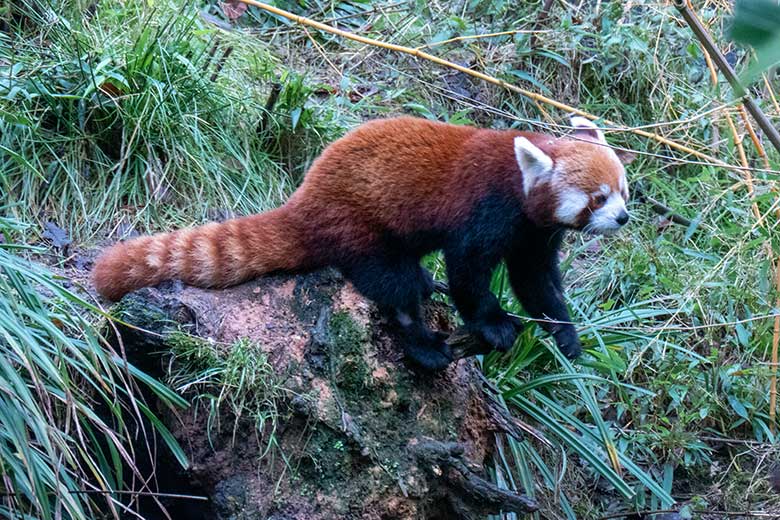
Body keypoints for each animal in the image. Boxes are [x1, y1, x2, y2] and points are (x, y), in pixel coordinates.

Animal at [94, 116, 632, 372]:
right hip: (358, 228)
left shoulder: (534, 235)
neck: (520, 183)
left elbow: (537, 283)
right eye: (597, 198)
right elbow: (468, 271)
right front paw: (494, 323)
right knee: (394, 285)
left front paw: (565, 335)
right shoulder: (486, 210)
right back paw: (422, 342)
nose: (624, 218)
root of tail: (304, 199)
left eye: (625, 191)